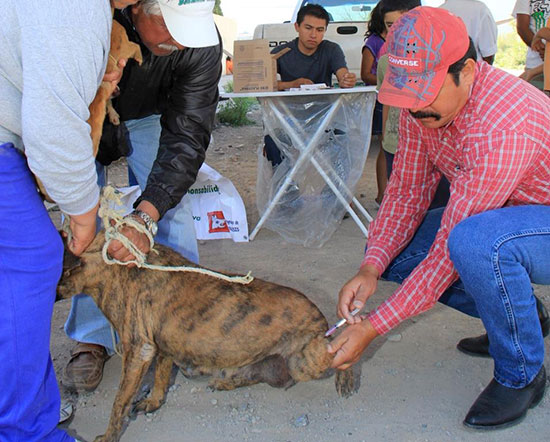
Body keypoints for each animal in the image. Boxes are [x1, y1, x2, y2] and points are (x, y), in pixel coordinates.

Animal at [57, 233, 358, 440]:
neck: (108, 264)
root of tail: (318, 317)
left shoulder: (138, 350)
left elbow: (119, 403)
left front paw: (107, 436)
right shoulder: (162, 347)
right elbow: (161, 377)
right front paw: (153, 402)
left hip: (306, 359)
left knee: (339, 347)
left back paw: (346, 373)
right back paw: (225, 383)